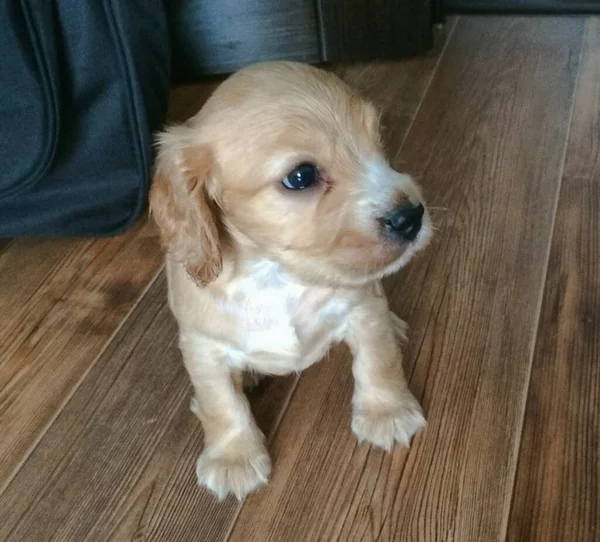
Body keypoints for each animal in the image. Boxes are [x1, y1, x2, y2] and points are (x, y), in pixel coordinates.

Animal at [150, 62, 432, 502]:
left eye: (378, 141)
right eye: (301, 176)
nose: (411, 217)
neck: (276, 275)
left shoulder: (364, 308)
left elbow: (378, 361)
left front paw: (387, 411)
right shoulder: (202, 347)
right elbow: (221, 404)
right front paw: (234, 456)